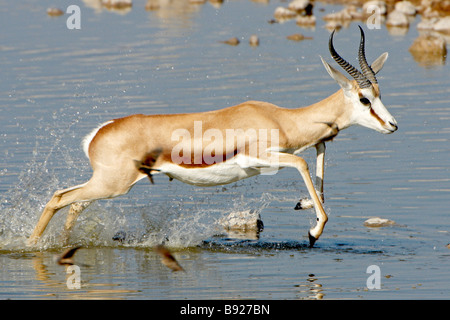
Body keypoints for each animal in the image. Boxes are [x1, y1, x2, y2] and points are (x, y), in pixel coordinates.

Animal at [29, 27, 398, 248]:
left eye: (379, 94)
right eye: (364, 99)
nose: (392, 125)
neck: (280, 118)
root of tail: (100, 132)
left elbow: (319, 165)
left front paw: (304, 206)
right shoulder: (264, 157)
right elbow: (303, 163)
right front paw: (313, 231)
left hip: (107, 185)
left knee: (74, 204)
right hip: (113, 185)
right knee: (60, 197)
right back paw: (33, 245)